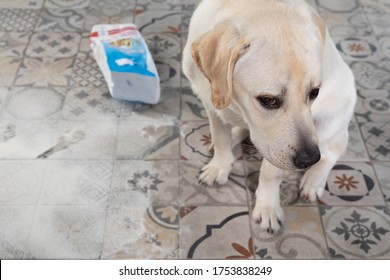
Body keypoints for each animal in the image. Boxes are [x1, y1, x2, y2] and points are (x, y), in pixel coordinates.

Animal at [182, 0, 356, 232]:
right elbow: (220, 140)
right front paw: (219, 167)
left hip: (332, 119)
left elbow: (270, 173)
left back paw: (313, 180)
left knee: (332, 152)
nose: (308, 159)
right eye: (268, 100)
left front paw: (267, 208)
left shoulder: (277, 148)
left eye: (314, 93)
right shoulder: (211, 105)